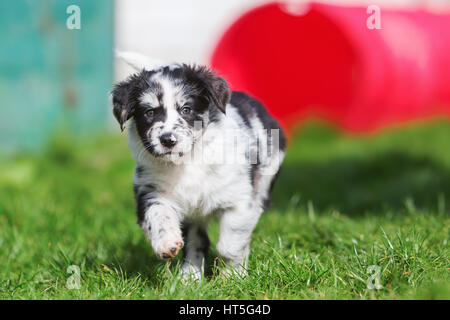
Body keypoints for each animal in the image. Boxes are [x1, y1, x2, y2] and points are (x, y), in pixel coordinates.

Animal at [111, 63, 284, 278]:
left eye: (186, 109)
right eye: (149, 113)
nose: (167, 140)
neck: (187, 162)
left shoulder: (239, 198)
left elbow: (230, 243)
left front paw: (232, 276)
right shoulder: (151, 190)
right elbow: (158, 214)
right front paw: (166, 243)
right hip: (193, 217)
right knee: (196, 242)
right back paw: (189, 278)